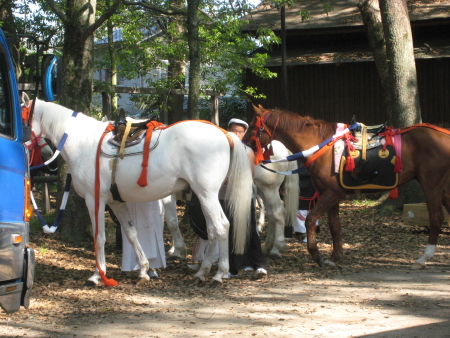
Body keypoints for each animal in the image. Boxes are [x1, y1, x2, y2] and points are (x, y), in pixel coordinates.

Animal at [28, 95, 253, 286]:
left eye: (23, 116)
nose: (46, 157)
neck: (86, 144)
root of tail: (224, 133)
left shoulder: (94, 200)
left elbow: (99, 237)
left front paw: (97, 275)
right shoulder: (115, 201)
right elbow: (131, 233)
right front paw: (144, 270)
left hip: (206, 194)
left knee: (221, 226)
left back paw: (218, 274)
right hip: (204, 196)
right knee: (214, 229)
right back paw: (203, 272)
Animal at [244, 105, 450, 270]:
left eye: (253, 126)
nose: (244, 144)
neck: (320, 144)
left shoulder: (331, 194)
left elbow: (310, 219)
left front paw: (317, 256)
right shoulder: (331, 194)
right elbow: (335, 226)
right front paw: (335, 257)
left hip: (431, 183)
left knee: (436, 218)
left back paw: (424, 258)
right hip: (443, 187)